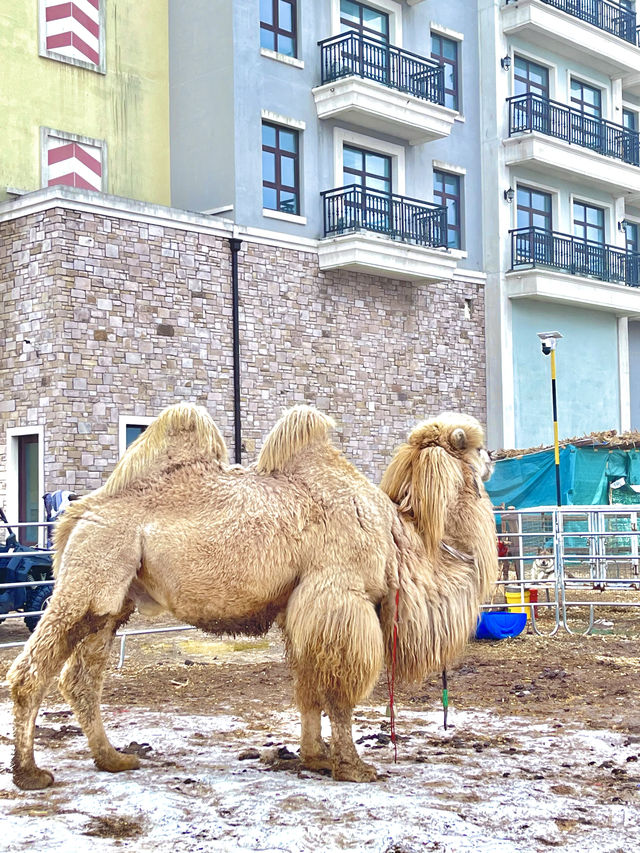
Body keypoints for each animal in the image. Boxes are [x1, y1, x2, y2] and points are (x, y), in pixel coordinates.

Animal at [8, 402, 500, 788]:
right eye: (473, 447)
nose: (494, 455)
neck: (400, 537)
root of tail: (75, 515)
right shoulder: (339, 597)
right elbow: (338, 686)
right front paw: (353, 766)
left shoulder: (300, 607)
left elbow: (307, 685)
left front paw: (315, 757)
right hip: (90, 575)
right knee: (31, 672)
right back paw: (30, 773)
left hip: (113, 600)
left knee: (82, 678)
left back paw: (113, 759)